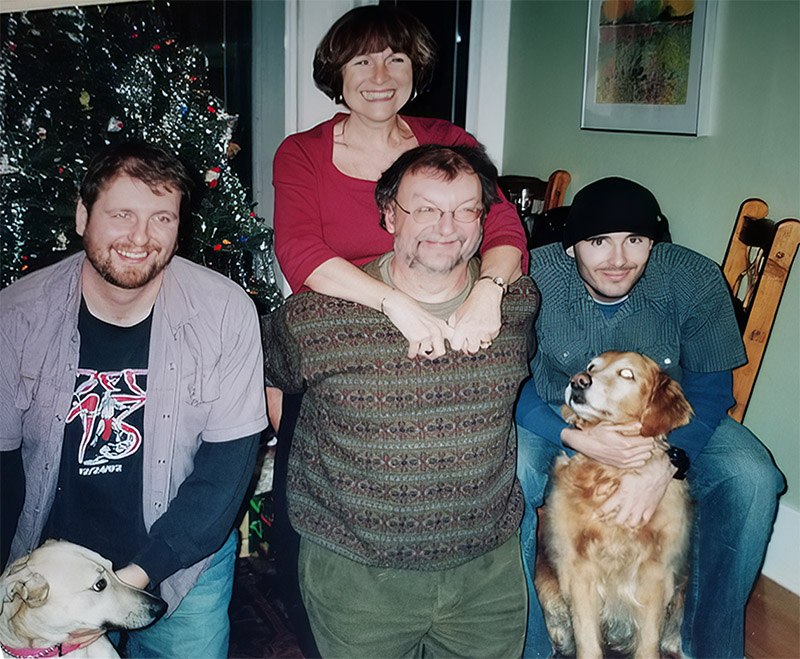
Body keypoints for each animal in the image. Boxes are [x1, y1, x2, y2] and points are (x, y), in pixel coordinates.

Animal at [536, 354, 692, 656]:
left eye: (627, 374)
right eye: (591, 366)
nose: (578, 380)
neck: (610, 475)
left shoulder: (655, 573)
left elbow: (648, 643)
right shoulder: (579, 571)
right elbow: (588, 642)